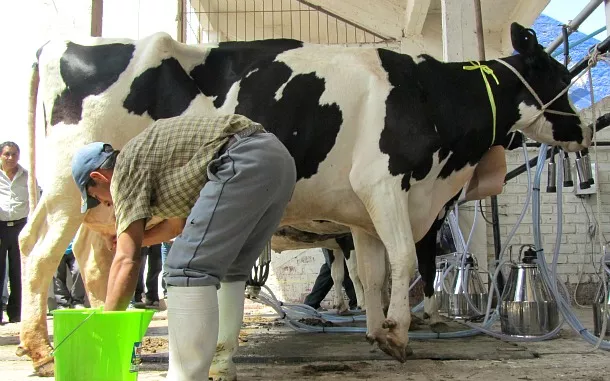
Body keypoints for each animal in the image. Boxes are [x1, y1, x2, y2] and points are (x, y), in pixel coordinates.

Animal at [19, 23, 588, 374]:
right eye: (560, 75)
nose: (583, 130)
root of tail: (59, 45)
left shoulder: (363, 213)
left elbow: (371, 274)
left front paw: (376, 331)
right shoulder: (385, 182)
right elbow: (407, 260)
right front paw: (400, 334)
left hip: (95, 203)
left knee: (90, 260)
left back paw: (102, 328)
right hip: (67, 189)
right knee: (39, 254)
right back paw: (41, 348)